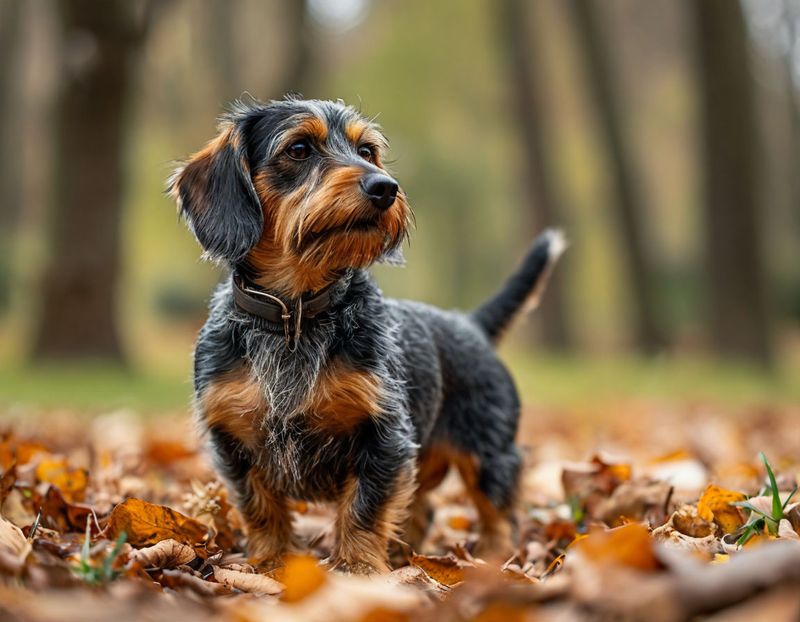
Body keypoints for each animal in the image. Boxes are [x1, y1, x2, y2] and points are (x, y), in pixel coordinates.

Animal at [169, 96, 564, 576]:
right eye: (298, 149)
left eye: (367, 151)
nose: (386, 188)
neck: (295, 316)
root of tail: (469, 324)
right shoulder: (233, 441)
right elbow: (261, 508)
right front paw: (271, 562)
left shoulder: (384, 436)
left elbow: (364, 508)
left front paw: (359, 570)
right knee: (424, 507)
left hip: (487, 453)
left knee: (497, 513)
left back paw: (490, 561)